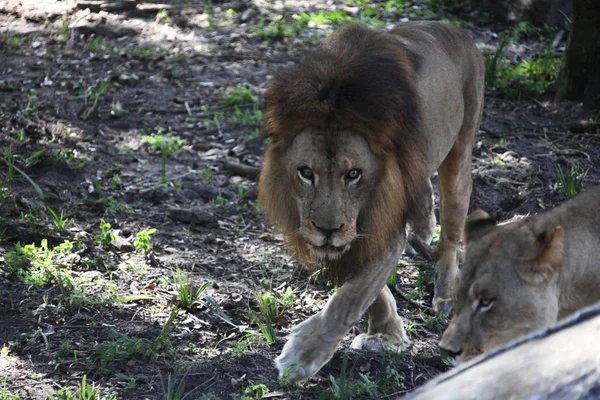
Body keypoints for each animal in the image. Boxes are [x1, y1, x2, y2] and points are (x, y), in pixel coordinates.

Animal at [260, 21, 486, 382]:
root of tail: (455, 29)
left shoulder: (386, 223)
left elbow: (351, 298)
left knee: (451, 235)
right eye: (305, 172)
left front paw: (301, 356)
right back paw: (424, 228)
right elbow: (367, 285)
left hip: (460, 154)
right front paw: (387, 333)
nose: (327, 229)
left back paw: (445, 294)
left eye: (354, 174)